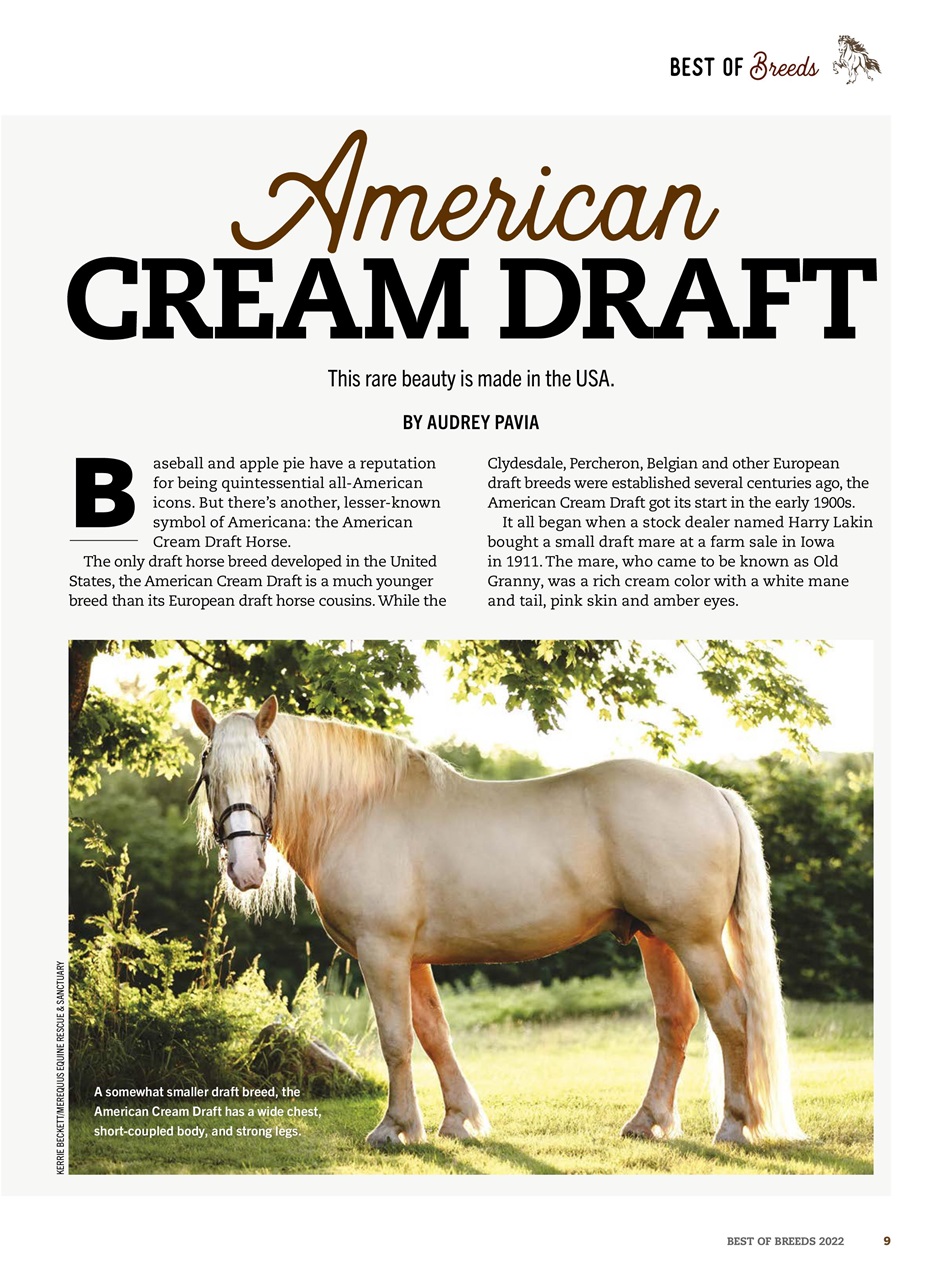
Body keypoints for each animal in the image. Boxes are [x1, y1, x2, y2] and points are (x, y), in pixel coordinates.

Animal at [189, 695, 805, 1148]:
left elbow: (396, 1039)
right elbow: (433, 1034)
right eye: (210, 771)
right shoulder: (410, 957)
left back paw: (734, 1126)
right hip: (658, 939)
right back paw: (647, 1122)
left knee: (731, 1015)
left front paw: (395, 1129)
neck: (360, 810)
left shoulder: (381, 950)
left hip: (694, 939)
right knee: (676, 1020)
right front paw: (458, 1120)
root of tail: (715, 794)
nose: (245, 868)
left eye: (266, 769)